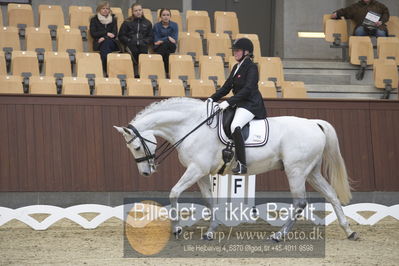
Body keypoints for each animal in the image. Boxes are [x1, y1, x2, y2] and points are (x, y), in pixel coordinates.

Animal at [115, 97, 360, 241]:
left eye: (136, 147)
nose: (146, 172)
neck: (190, 125)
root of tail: (313, 123)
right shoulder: (201, 173)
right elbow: (209, 200)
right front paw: (211, 231)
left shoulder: (196, 169)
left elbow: (174, 193)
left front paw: (176, 229)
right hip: (311, 172)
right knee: (332, 195)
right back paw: (349, 231)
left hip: (296, 171)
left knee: (300, 202)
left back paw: (279, 235)